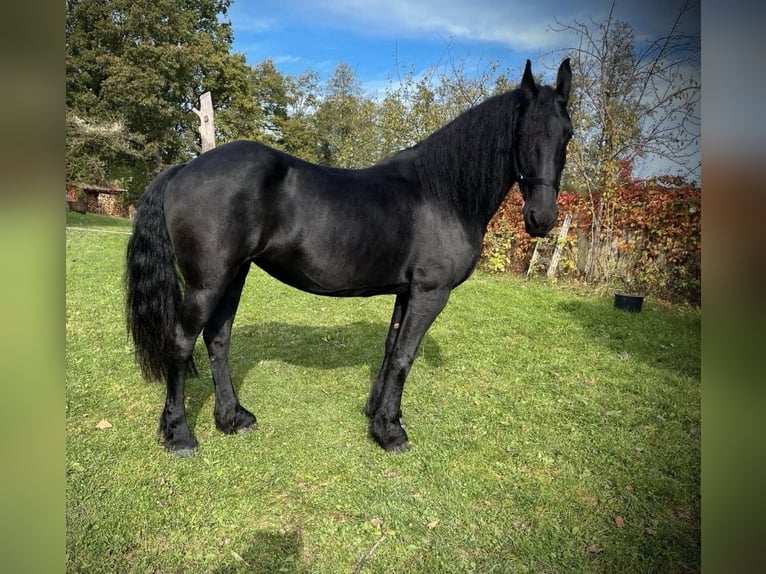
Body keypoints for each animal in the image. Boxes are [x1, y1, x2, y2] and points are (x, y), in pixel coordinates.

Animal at [126, 59, 573, 456]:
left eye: (566, 134)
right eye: (524, 132)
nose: (542, 218)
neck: (441, 194)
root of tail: (185, 169)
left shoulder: (407, 292)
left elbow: (391, 350)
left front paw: (377, 415)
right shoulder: (430, 292)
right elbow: (404, 358)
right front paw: (391, 432)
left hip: (233, 276)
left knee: (218, 340)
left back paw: (233, 418)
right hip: (207, 282)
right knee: (182, 343)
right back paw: (180, 435)